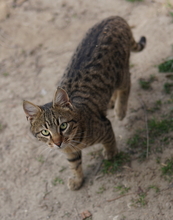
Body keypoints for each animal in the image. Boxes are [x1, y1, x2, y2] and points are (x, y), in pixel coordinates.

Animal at [23, 16, 146, 190]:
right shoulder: (69, 152)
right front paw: (77, 179)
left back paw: (120, 110)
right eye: (45, 132)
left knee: (127, 83)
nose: (58, 142)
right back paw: (112, 101)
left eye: (63, 126)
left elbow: (110, 141)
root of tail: (115, 17)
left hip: (120, 72)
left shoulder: (105, 126)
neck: (73, 142)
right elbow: (74, 165)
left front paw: (111, 153)